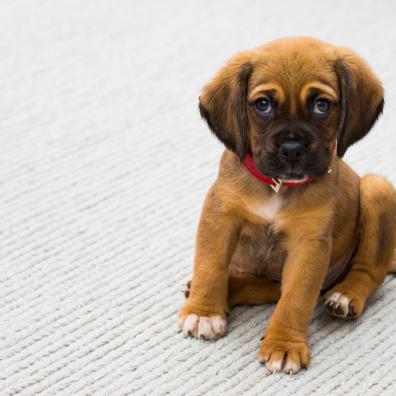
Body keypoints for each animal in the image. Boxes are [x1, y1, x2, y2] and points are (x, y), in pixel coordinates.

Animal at [178, 37, 396, 374]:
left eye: (322, 105)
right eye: (263, 105)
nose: (292, 148)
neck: (277, 187)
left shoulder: (309, 245)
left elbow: (296, 299)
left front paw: (284, 345)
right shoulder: (220, 217)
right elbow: (209, 266)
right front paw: (203, 312)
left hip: (377, 188)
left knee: (370, 271)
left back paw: (346, 295)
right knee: (265, 287)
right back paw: (227, 288)